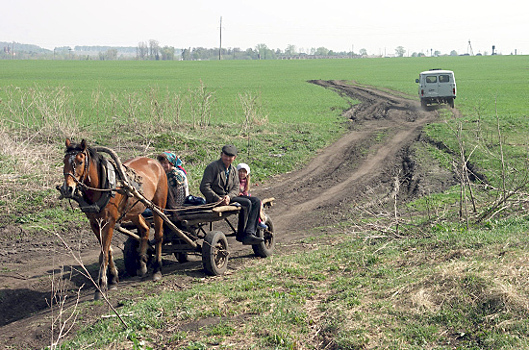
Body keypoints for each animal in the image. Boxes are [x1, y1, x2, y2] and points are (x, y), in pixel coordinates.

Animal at [58, 139, 166, 298]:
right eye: (64, 160)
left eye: (80, 161)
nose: (67, 189)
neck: (103, 187)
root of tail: (155, 162)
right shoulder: (95, 223)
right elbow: (107, 250)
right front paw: (113, 279)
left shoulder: (109, 222)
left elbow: (104, 254)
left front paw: (100, 287)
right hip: (133, 210)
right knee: (145, 228)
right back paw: (141, 263)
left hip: (158, 206)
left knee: (159, 235)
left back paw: (157, 270)